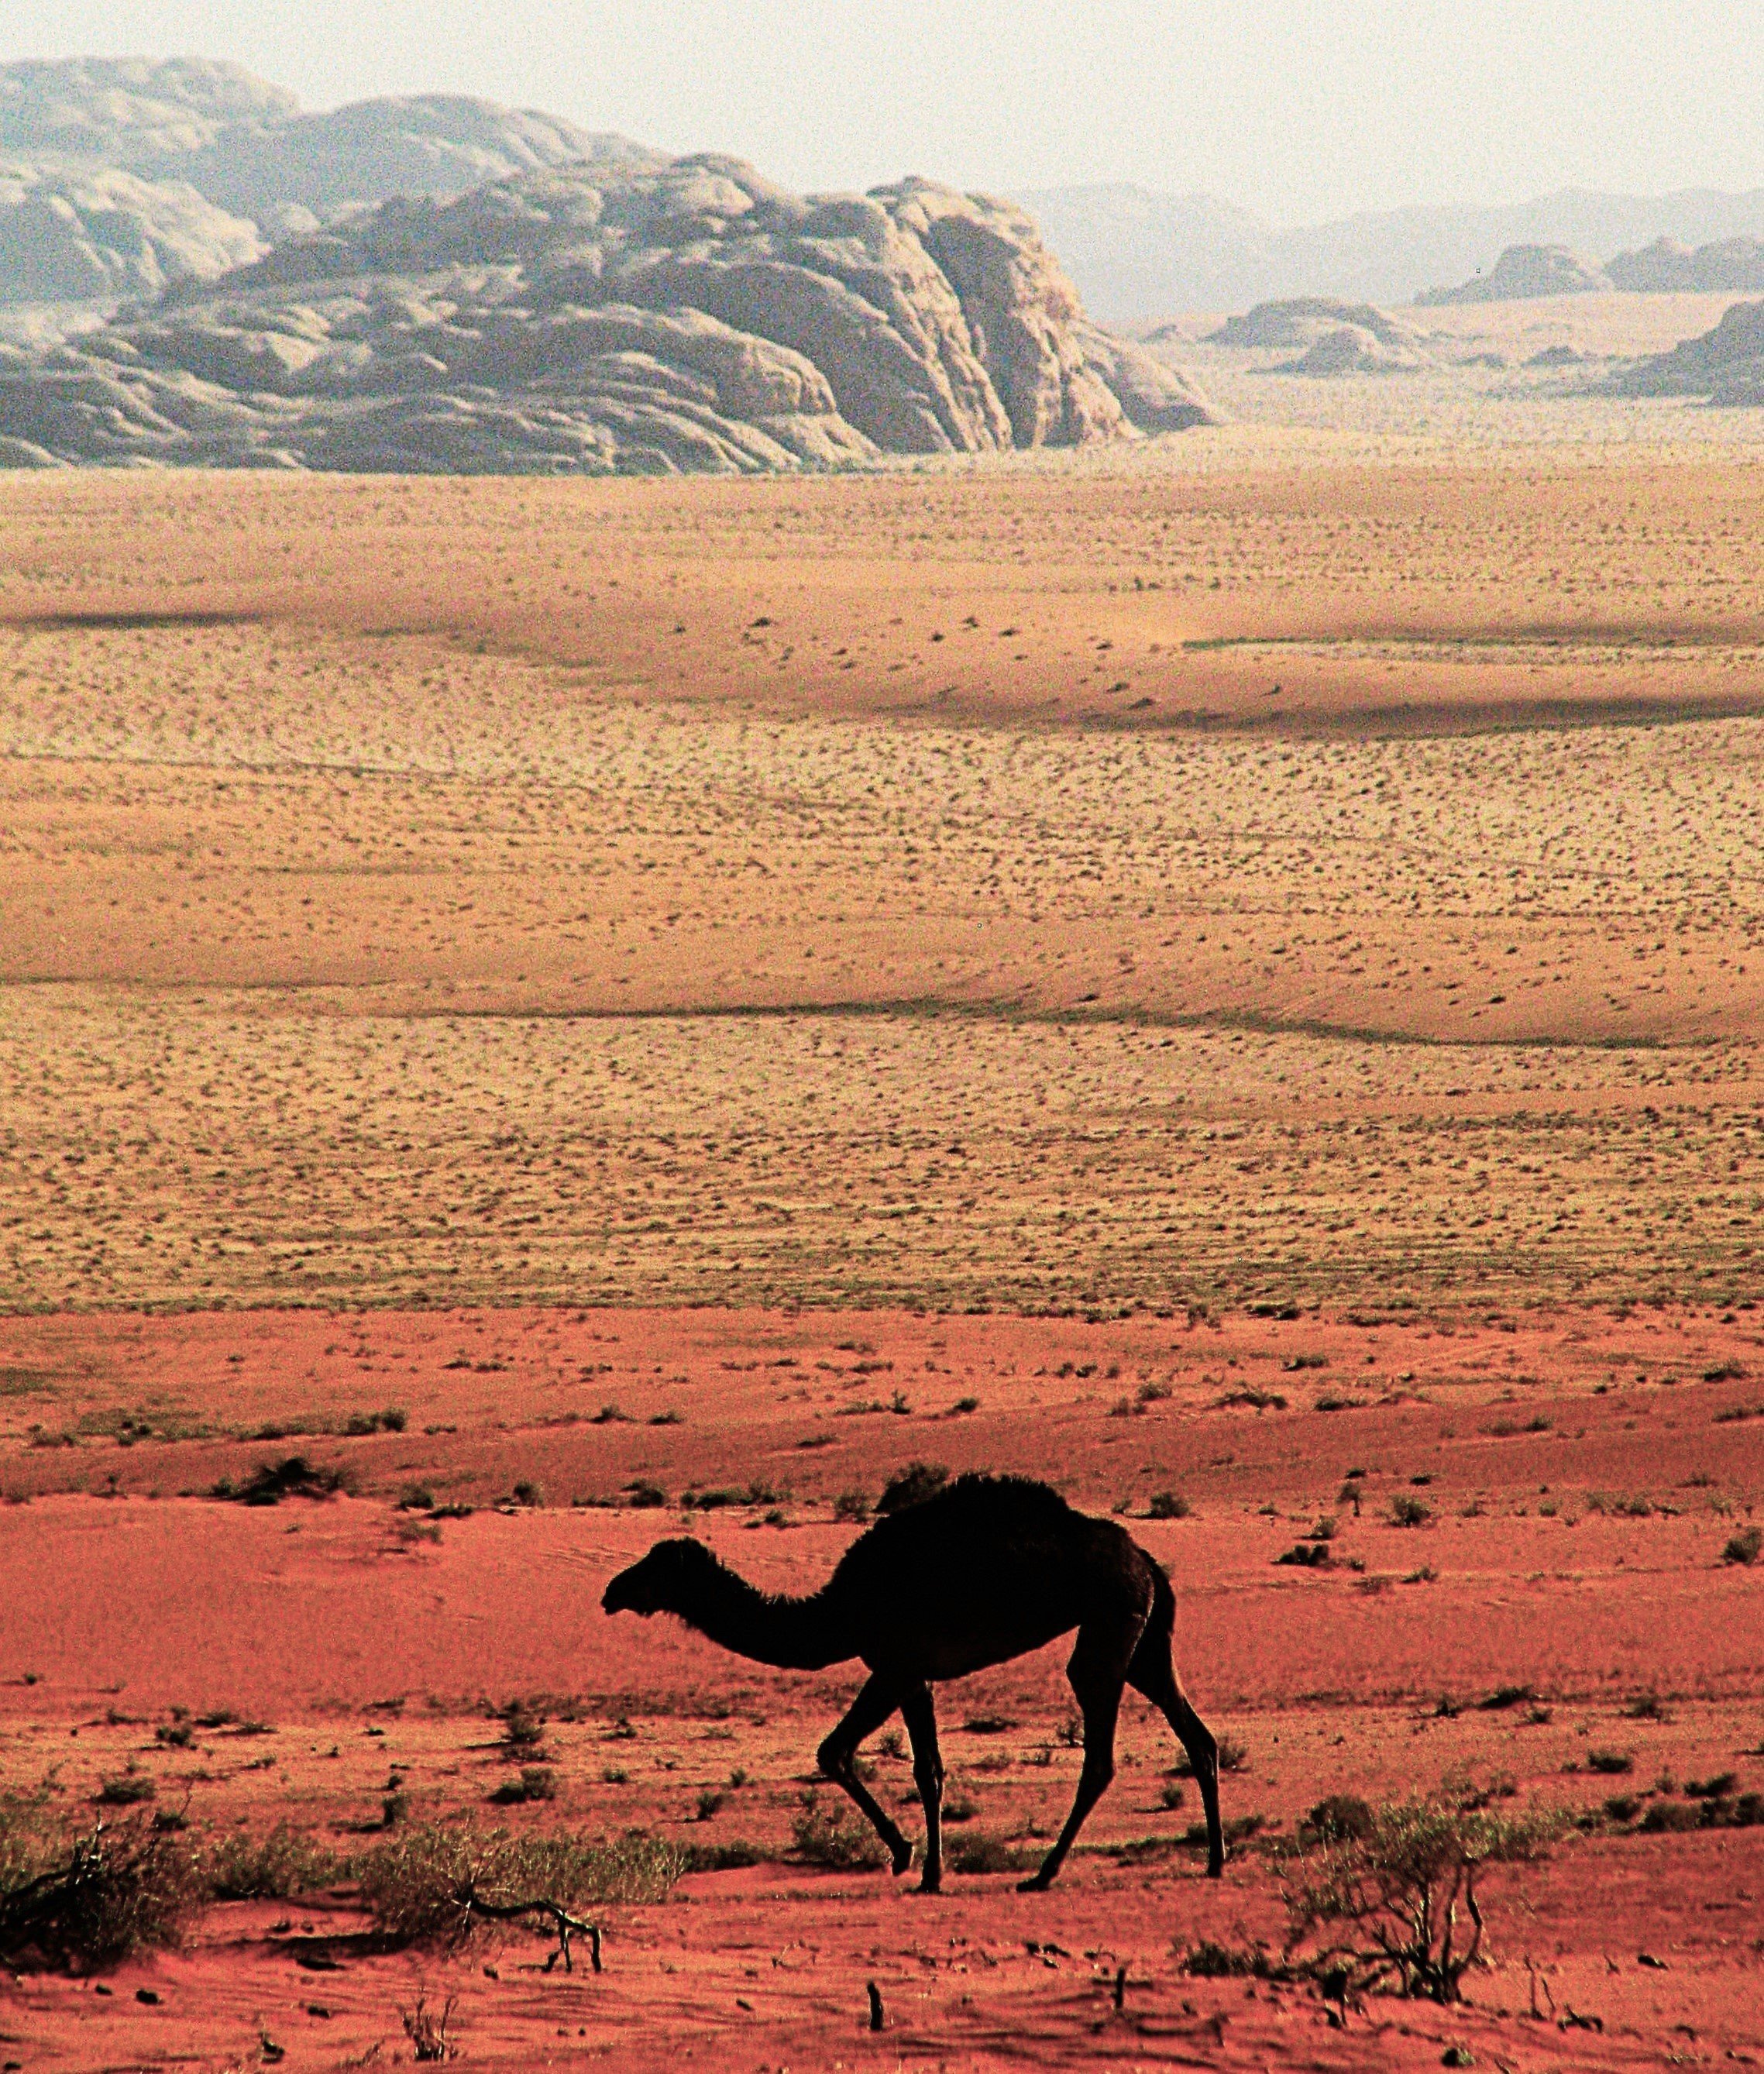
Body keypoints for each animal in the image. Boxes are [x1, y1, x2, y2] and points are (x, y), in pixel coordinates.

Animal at [602, 1473, 1224, 1893]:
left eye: (655, 1567)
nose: (611, 1591)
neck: (840, 1609)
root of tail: (1145, 1558)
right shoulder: (895, 1669)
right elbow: (843, 1752)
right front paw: (905, 1855)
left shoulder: (903, 1667)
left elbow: (920, 1769)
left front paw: (925, 1869)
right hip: (1143, 1636)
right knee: (1197, 1736)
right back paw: (1215, 1860)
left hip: (1109, 1619)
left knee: (1098, 1751)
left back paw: (1043, 1873)